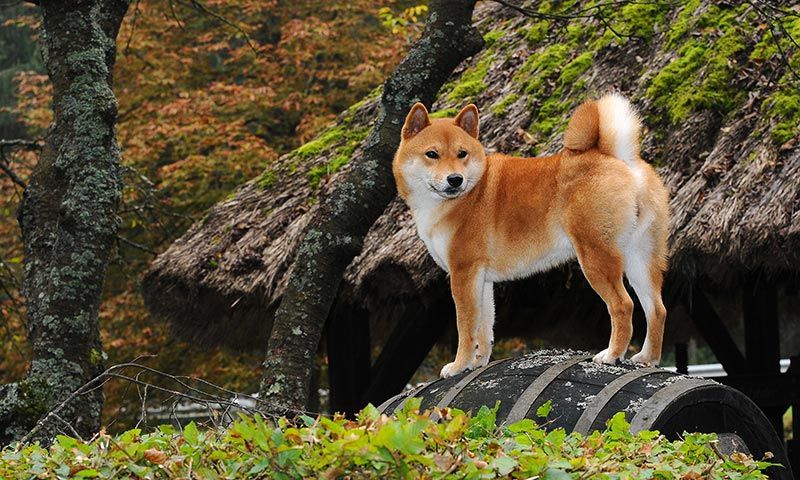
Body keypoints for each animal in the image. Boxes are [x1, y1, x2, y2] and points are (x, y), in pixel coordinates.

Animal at [394, 94, 668, 376]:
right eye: (432, 154)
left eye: (462, 154)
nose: (455, 179)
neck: (465, 195)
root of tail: (620, 160)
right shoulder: (481, 279)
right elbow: (484, 328)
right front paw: (479, 362)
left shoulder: (463, 273)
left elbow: (466, 327)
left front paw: (459, 366)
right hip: (640, 258)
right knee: (657, 309)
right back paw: (647, 358)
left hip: (596, 258)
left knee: (623, 305)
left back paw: (611, 355)